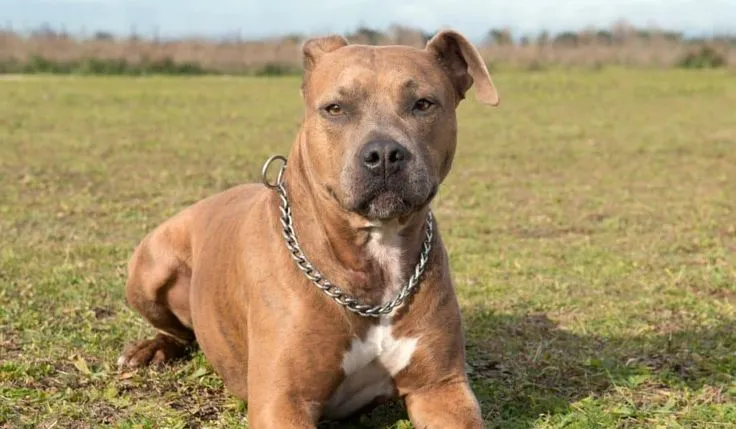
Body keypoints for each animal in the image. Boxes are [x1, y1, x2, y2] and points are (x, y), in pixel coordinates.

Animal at [119, 28, 500, 426]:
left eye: (423, 104)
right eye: (335, 108)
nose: (383, 154)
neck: (374, 258)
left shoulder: (441, 388)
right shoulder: (282, 401)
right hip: (149, 268)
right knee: (176, 330)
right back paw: (149, 350)